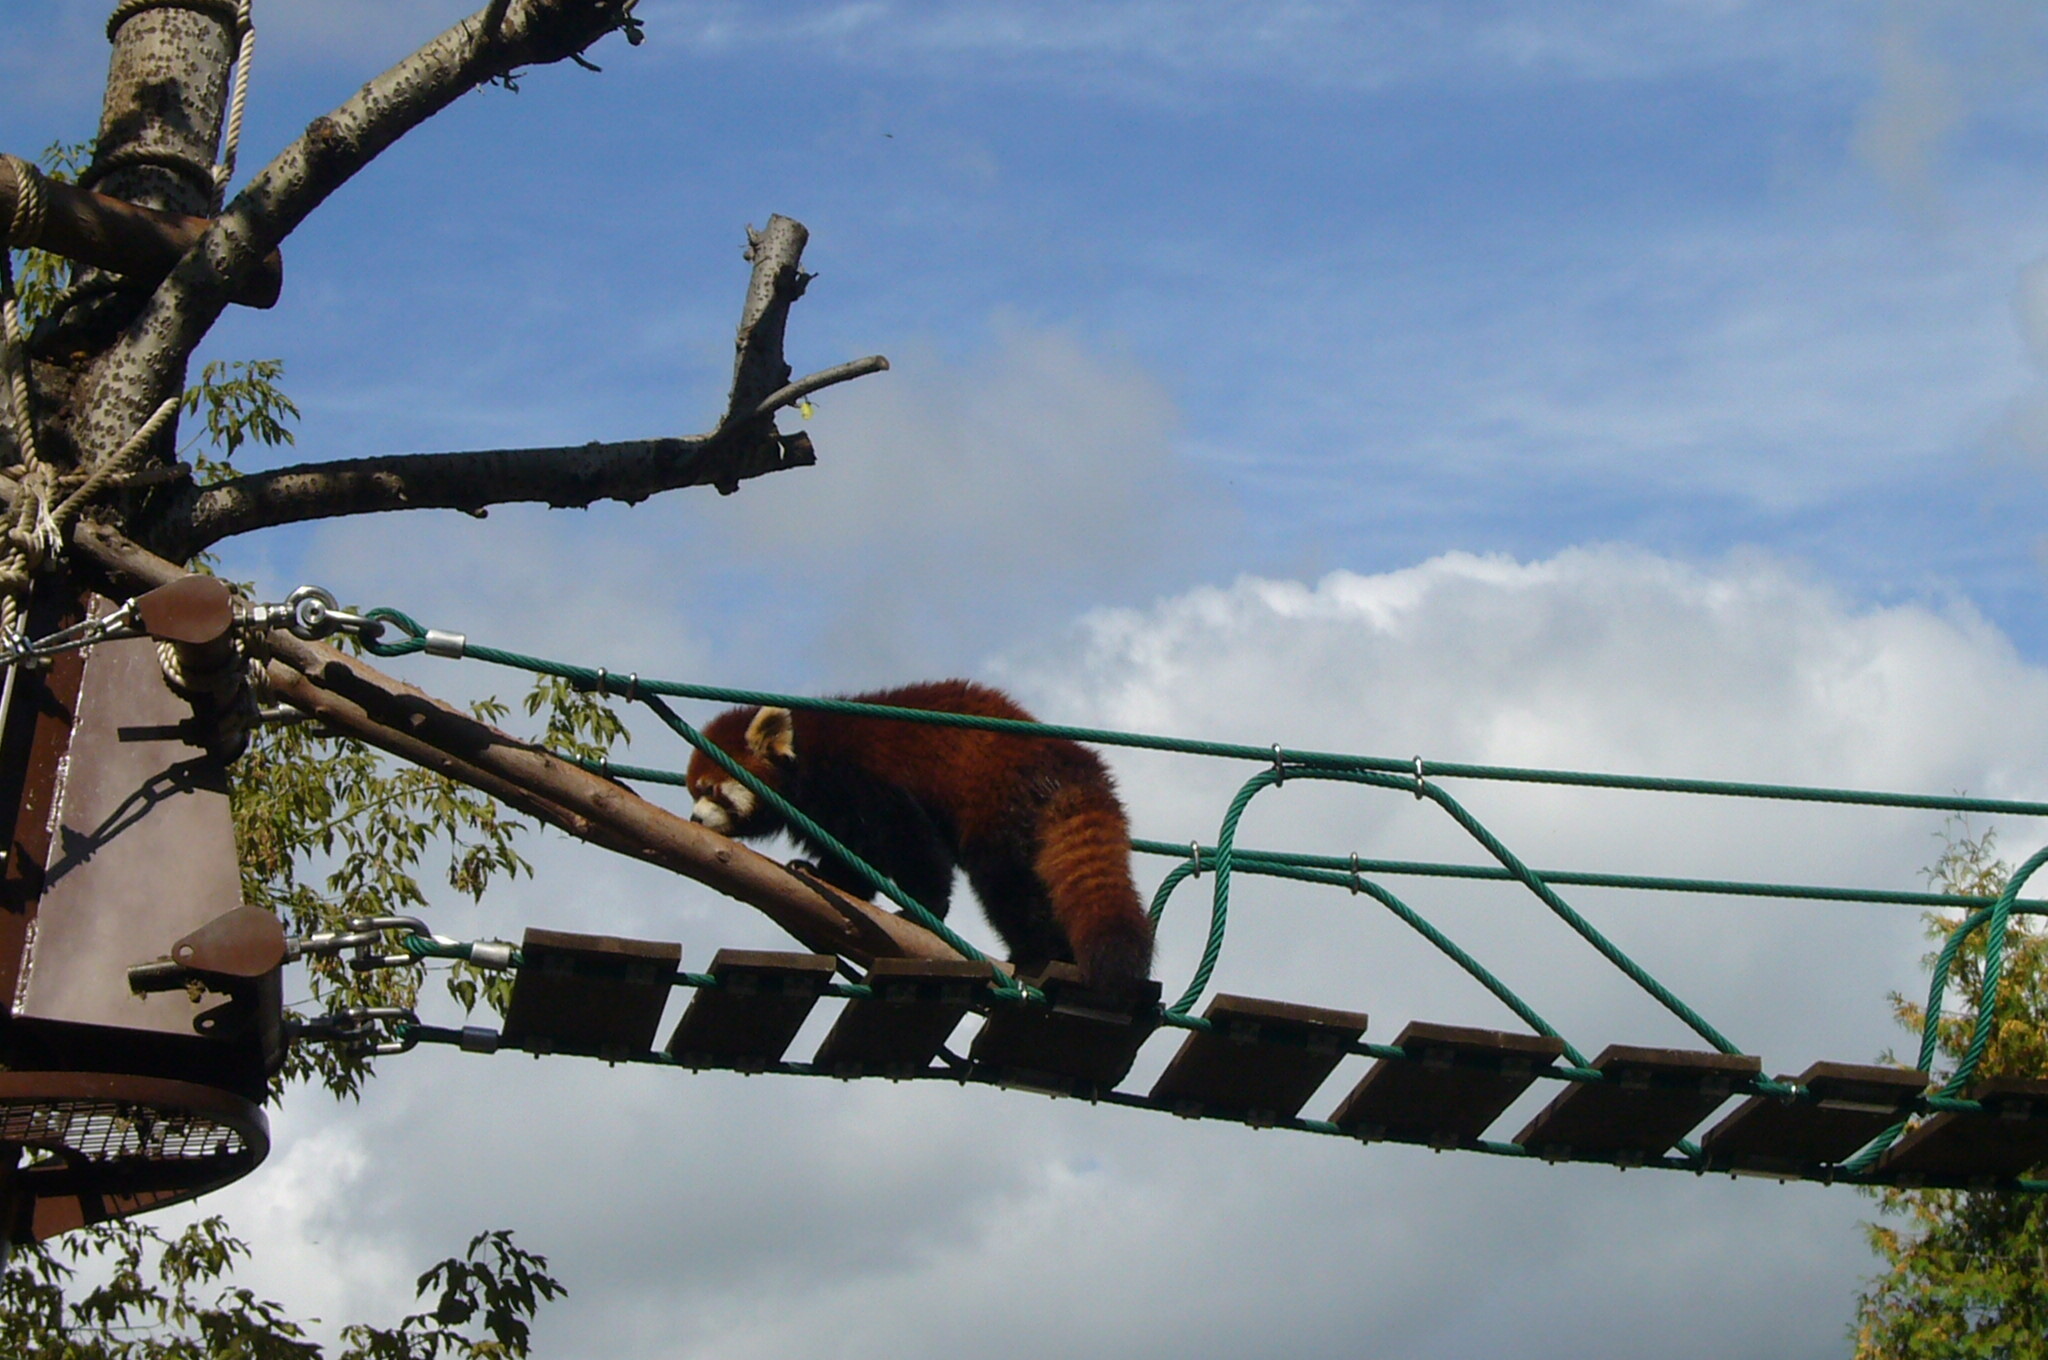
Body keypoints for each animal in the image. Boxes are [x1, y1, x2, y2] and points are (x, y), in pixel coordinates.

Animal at [692, 675, 1155, 987]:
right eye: (693, 791)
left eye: (711, 790)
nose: (696, 819)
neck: (809, 755)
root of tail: (1072, 764)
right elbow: (852, 857)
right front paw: (822, 875)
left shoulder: (861, 781)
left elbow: (910, 842)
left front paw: (922, 908)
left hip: (998, 802)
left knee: (1006, 882)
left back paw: (1035, 954)